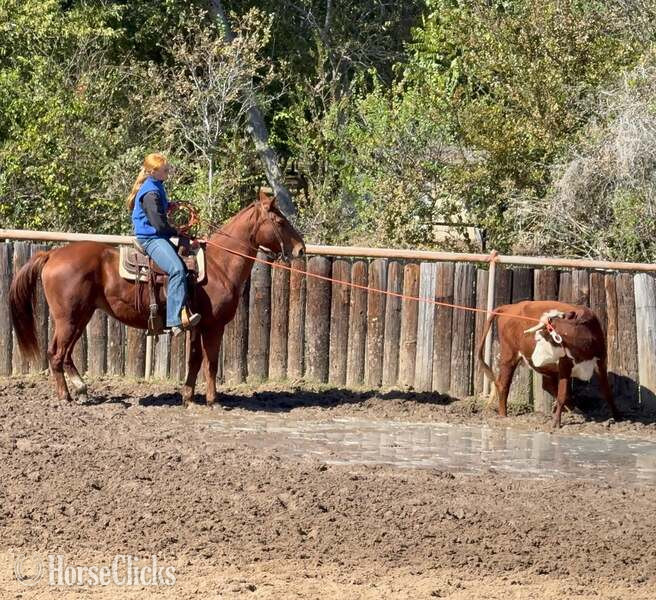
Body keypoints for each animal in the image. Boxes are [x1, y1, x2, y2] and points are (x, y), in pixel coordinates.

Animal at [9, 191, 305, 406]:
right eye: (280, 222)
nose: (301, 249)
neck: (219, 266)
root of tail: (52, 254)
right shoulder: (214, 326)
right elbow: (210, 362)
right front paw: (213, 401)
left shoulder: (197, 325)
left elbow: (195, 359)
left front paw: (188, 397)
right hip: (68, 318)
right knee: (56, 353)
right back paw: (66, 396)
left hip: (81, 316)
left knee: (66, 353)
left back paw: (80, 389)